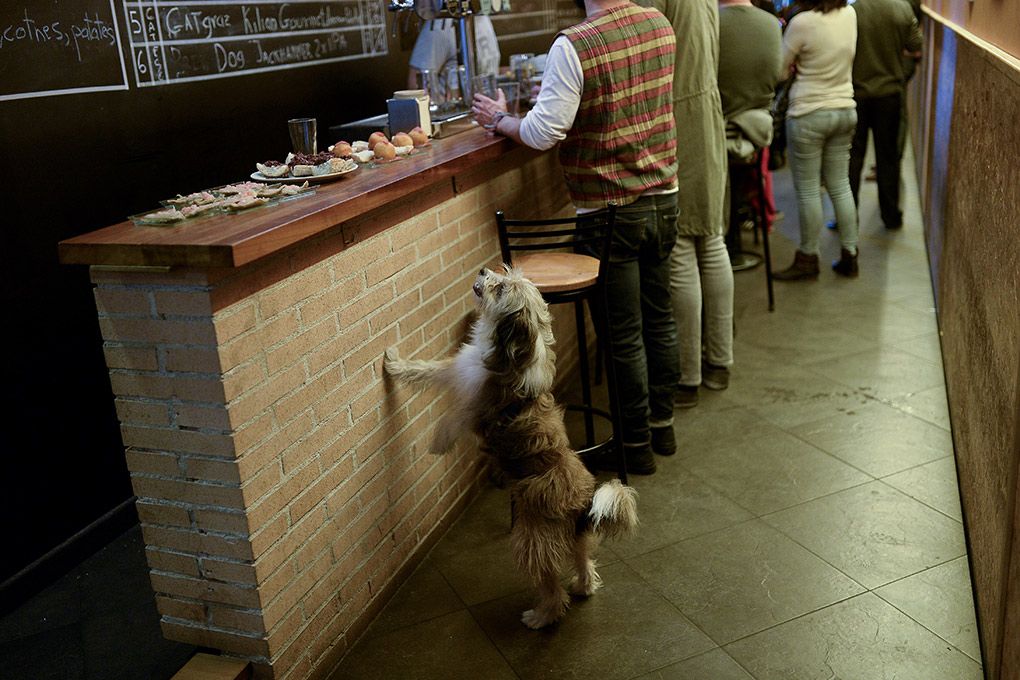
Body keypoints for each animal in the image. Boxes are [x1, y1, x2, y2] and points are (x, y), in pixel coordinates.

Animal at [383, 269, 636, 632]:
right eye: (504, 274)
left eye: (501, 288)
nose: (483, 271)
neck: (511, 352)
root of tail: (584, 504)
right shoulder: (460, 369)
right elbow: (428, 369)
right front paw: (394, 364)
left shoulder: (477, 406)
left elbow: (453, 417)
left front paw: (438, 442)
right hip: (574, 538)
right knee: (583, 560)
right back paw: (583, 586)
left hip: (531, 538)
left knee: (550, 585)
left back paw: (541, 616)